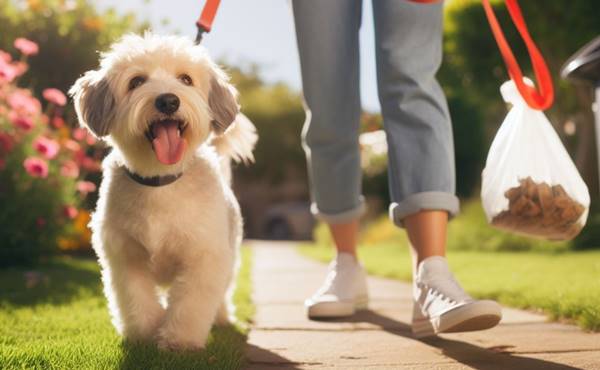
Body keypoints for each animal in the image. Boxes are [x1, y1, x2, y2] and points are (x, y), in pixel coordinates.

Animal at [69, 34, 256, 350]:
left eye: (185, 79)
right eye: (136, 81)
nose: (168, 100)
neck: (160, 181)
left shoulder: (204, 257)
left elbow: (191, 303)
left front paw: (179, 341)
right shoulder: (125, 256)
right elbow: (137, 299)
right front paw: (144, 334)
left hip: (229, 257)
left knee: (221, 292)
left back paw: (220, 317)